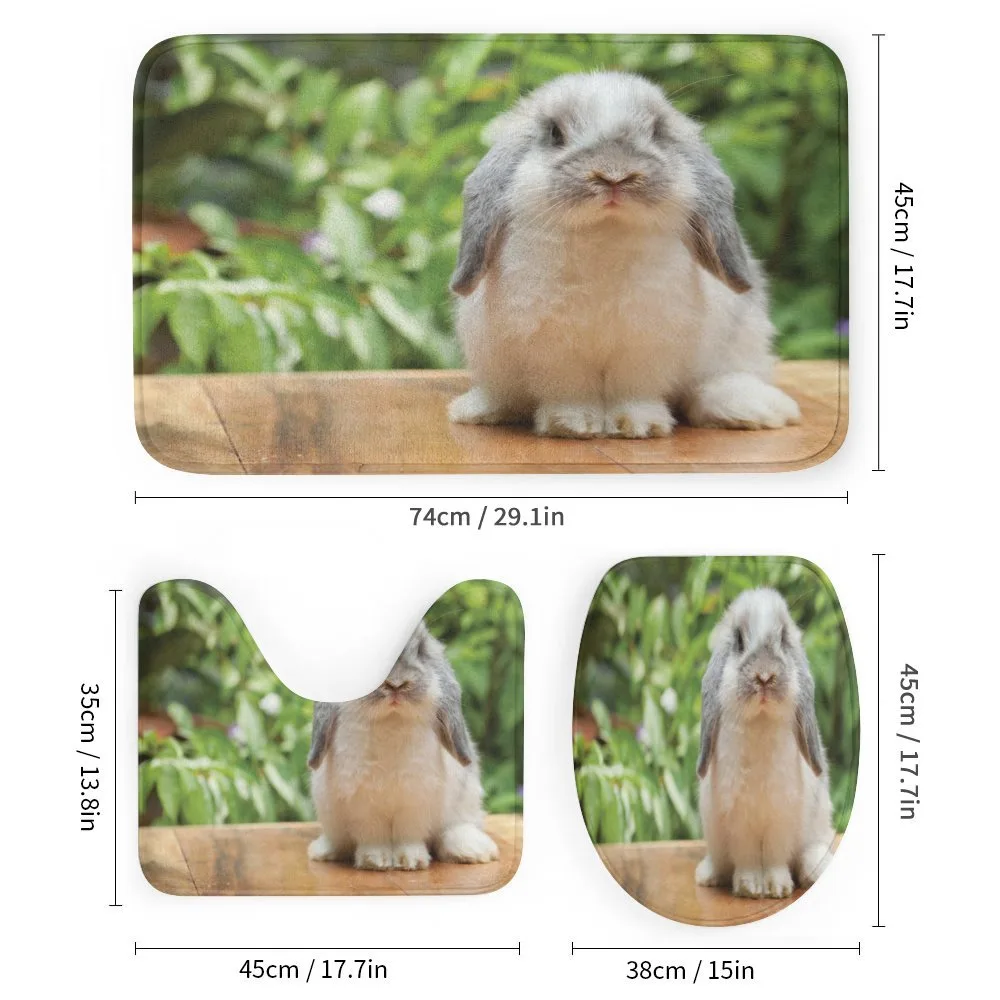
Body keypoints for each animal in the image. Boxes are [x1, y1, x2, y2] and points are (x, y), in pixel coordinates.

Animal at [306, 620, 499, 871]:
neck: (391, 720)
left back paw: (473, 850)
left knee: (455, 828)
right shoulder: (362, 803)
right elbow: (372, 835)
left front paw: (410, 861)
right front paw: (375, 861)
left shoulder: (416, 800)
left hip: (466, 800)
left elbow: (409, 834)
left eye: (421, 651)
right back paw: (323, 851)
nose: (396, 684)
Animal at [448, 71, 801, 439]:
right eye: (556, 133)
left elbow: (634, 390)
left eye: (657, 131)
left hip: (739, 342)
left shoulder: (647, 344)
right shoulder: (554, 348)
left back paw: (753, 410)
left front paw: (638, 425)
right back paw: (479, 409)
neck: (605, 234)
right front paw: (573, 424)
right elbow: (570, 390)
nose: (614, 175)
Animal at [695, 588, 835, 899]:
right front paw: (749, 888)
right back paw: (707, 875)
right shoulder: (738, 820)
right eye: (738, 640)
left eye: (782, 639)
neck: (760, 721)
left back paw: (815, 868)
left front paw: (777, 888)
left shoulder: (781, 818)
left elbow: (774, 856)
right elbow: (747, 857)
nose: (764, 676)